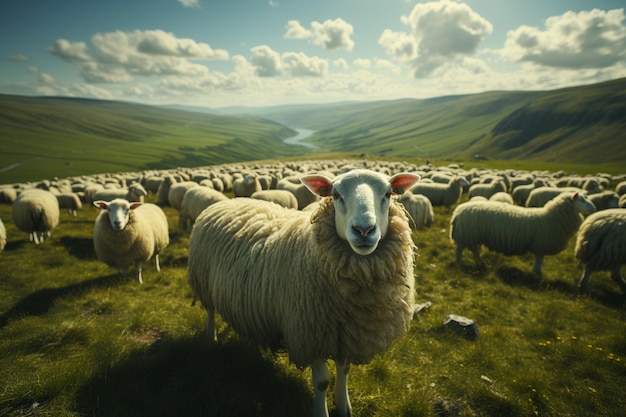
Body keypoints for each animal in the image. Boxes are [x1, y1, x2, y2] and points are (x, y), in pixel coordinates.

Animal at [186, 169, 420, 416]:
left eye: (388, 194)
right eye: (336, 195)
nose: (364, 230)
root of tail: (227, 201)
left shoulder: (347, 334)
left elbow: (344, 369)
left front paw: (343, 405)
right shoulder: (308, 333)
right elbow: (322, 382)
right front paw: (322, 411)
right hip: (203, 281)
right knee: (210, 311)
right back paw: (210, 338)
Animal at [448, 193, 596, 276]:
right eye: (581, 200)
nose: (594, 208)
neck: (551, 217)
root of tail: (457, 211)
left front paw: (537, 272)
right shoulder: (541, 244)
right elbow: (539, 260)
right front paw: (537, 273)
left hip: (472, 237)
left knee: (474, 251)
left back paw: (480, 262)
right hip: (465, 236)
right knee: (459, 250)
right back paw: (460, 262)